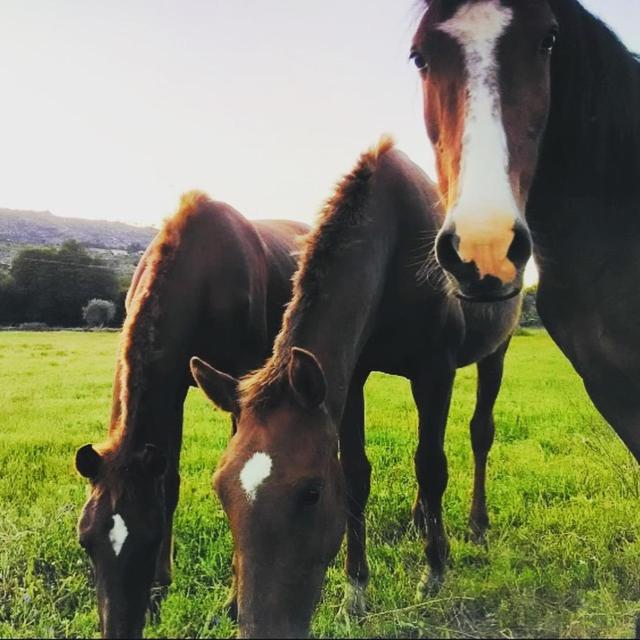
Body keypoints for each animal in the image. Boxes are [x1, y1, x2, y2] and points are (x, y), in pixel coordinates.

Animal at [73, 191, 308, 638]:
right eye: (85, 540)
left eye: (149, 539)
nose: (121, 628)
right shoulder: (175, 382)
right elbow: (169, 480)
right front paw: (160, 587)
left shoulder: (241, 382)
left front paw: (234, 602)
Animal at [191, 138, 521, 638]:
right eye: (220, 488)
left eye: (310, 493)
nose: (261, 626)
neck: (396, 248)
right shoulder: (351, 379)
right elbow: (356, 474)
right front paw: (355, 592)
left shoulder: (435, 370)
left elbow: (431, 465)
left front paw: (434, 570)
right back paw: (421, 518)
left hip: (495, 353)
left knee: (479, 432)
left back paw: (474, 525)